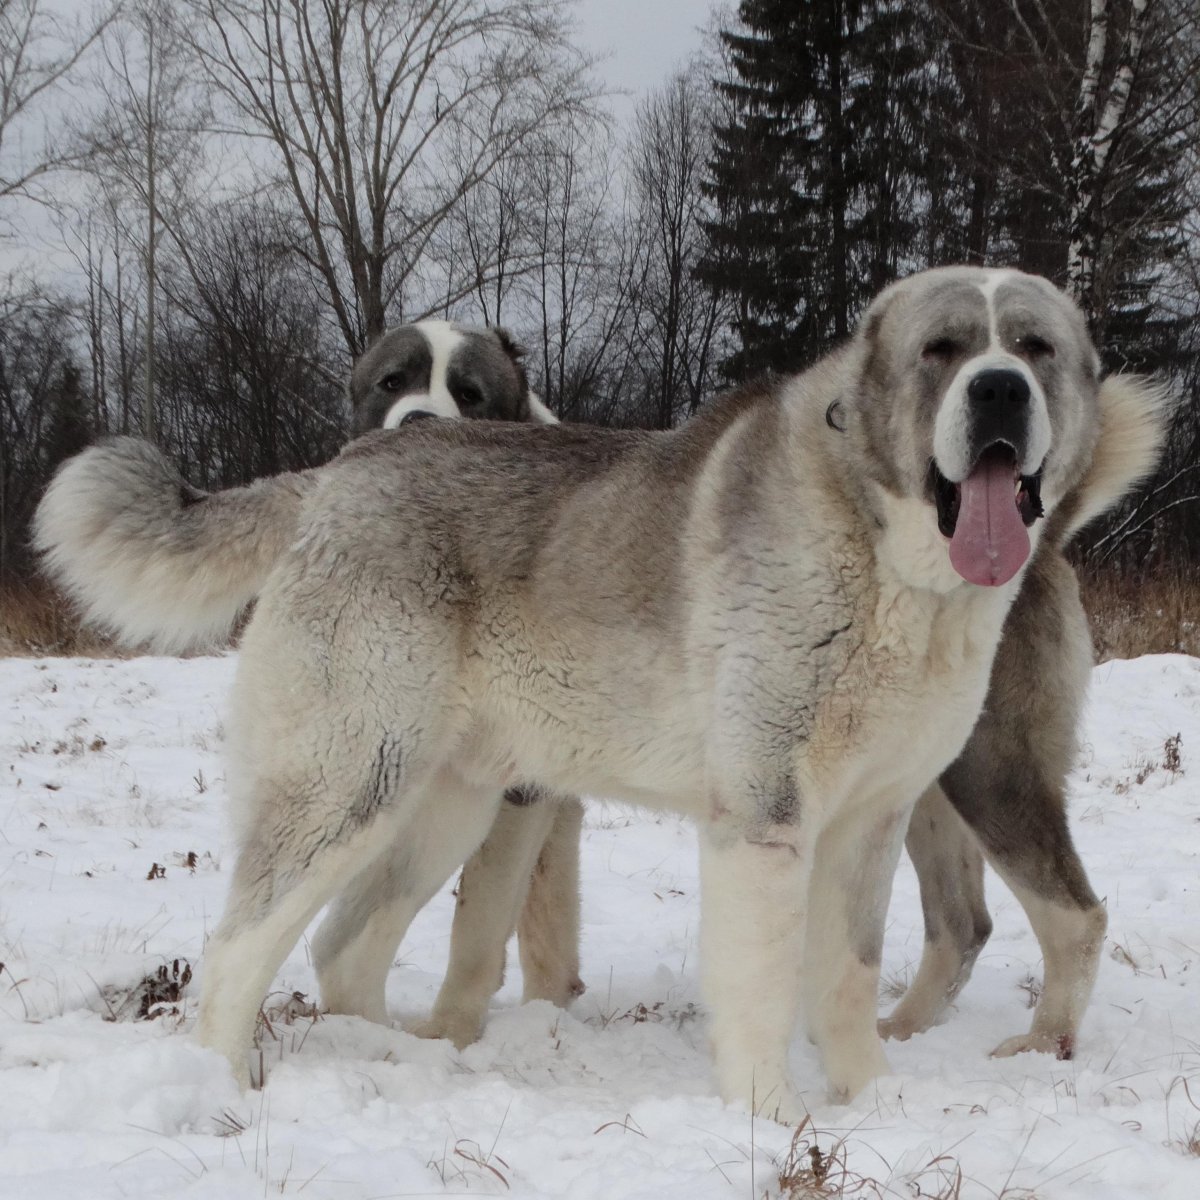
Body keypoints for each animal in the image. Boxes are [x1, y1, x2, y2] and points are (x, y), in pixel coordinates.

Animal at [35, 270, 1161, 1113]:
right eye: (944, 350)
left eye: (1033, 348)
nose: (1000, 390)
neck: (887, 559)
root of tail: (346, 465)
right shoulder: (763, 820)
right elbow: (760, 986)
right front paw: (773, 1121)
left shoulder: (867, 822)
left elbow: (841, 977)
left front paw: (871, 1103)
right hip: (350, 782)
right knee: (238, 949)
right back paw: (222, 1090)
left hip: (447, 803)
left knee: (346, 946)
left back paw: (401, 1063)